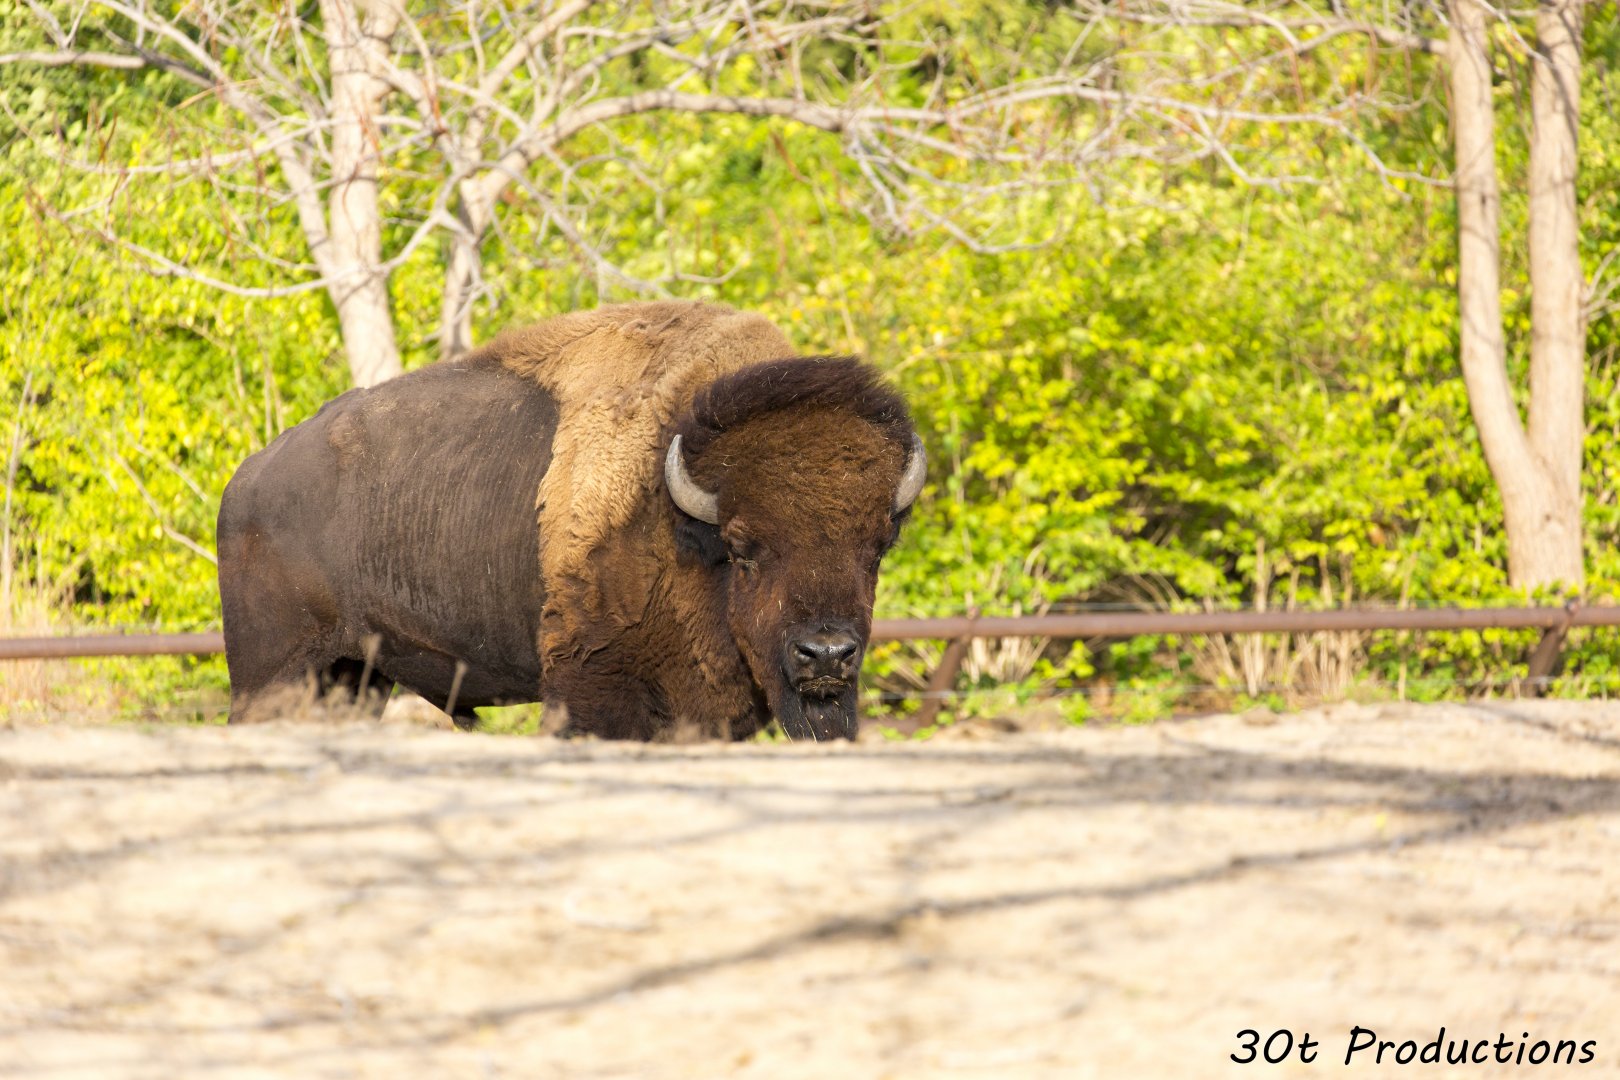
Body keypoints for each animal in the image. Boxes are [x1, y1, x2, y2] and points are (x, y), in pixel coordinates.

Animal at [216, 301, 924, 740]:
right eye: (743, 547)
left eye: (876, 547)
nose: (826, 654)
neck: (676, 519)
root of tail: (245, 480)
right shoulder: (593, 687)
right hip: (272, 673)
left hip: (353, 676)